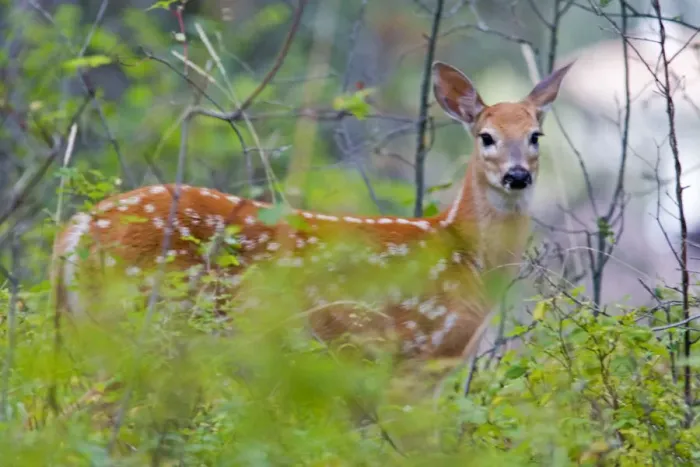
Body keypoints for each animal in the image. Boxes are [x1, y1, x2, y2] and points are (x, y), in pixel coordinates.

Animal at [52, 60, 573, 368]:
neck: (464, 253)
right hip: (142, 319)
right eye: (486, 137)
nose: (517, 176)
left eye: (535, 136)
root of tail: (79, 228)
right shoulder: (413, 355)